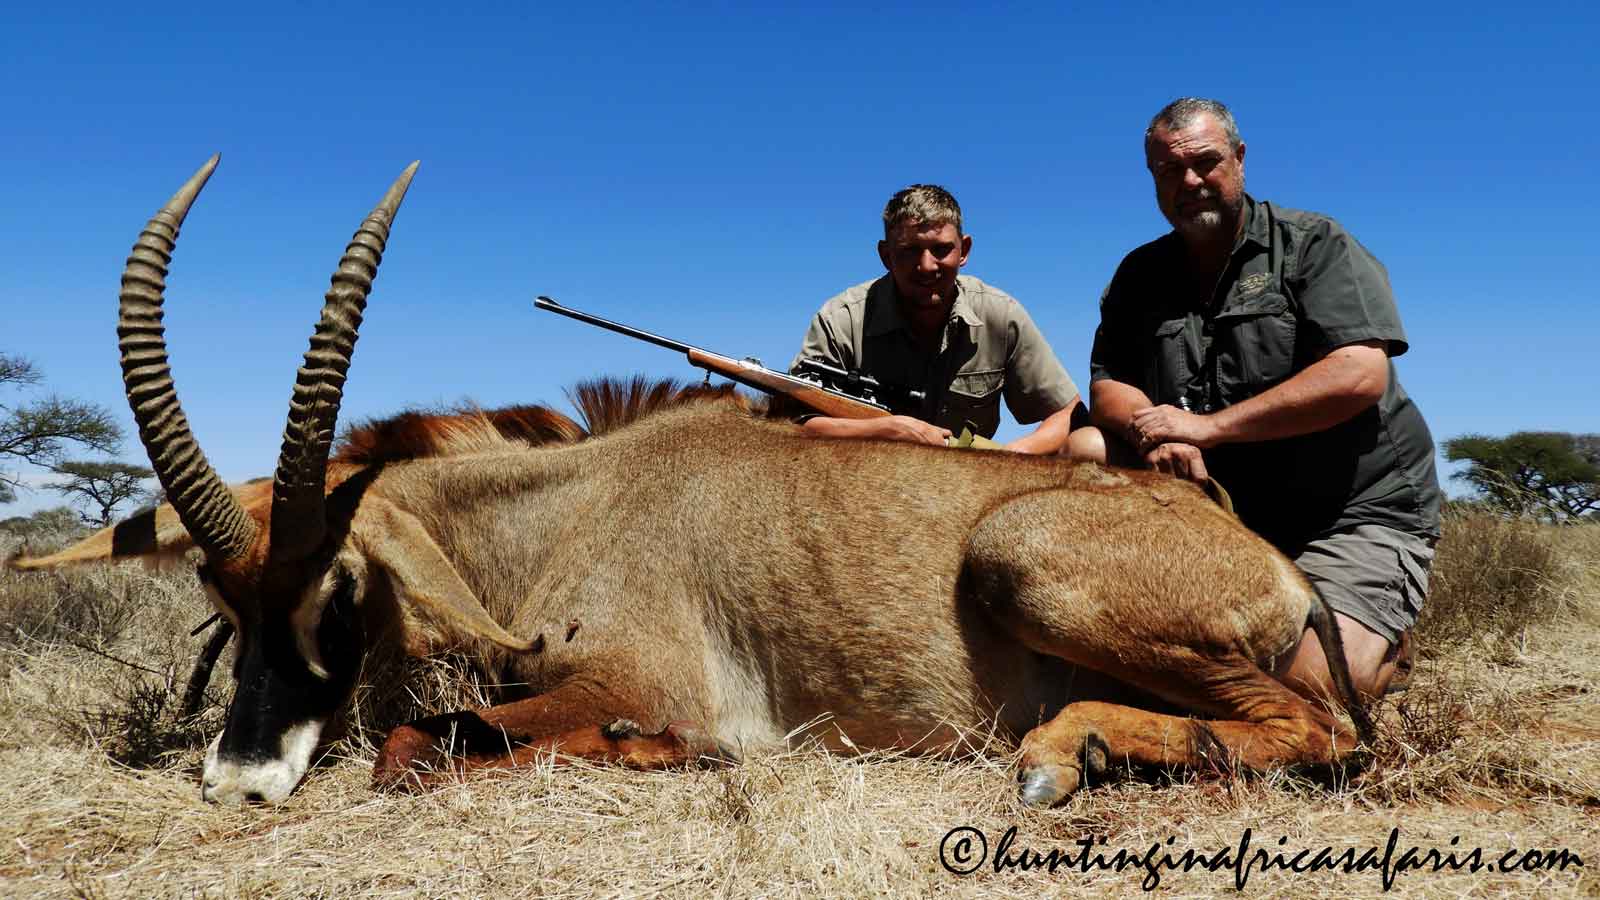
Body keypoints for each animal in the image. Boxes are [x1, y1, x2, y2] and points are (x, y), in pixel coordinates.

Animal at [9, 157, 1371, 807]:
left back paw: (1061, 753)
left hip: (1021, 562)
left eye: (340, 588)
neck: (567, 506)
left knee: (1324, 731)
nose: (241, 781)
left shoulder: (637, 679)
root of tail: (1263, 560)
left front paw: (667, 757)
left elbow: (413, 743)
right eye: (222, 604)